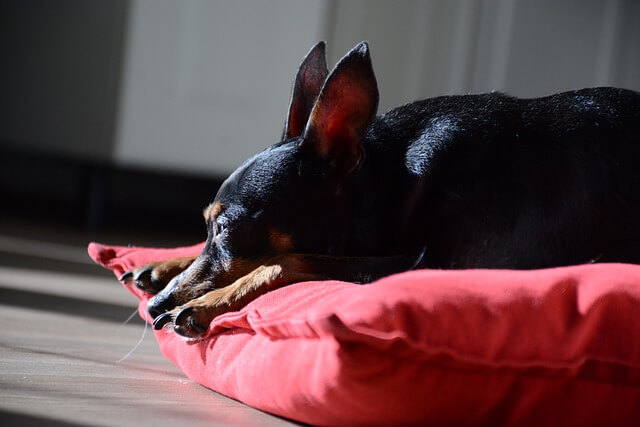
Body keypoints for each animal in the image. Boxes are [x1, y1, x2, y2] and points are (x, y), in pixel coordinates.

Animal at [120, 41, 640, 340]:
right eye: (207, 226)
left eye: (227, 230)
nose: (158, 306)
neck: (396, 182)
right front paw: (167, 264)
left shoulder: (429, 263)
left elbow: (285, 260)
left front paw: (202, 304)